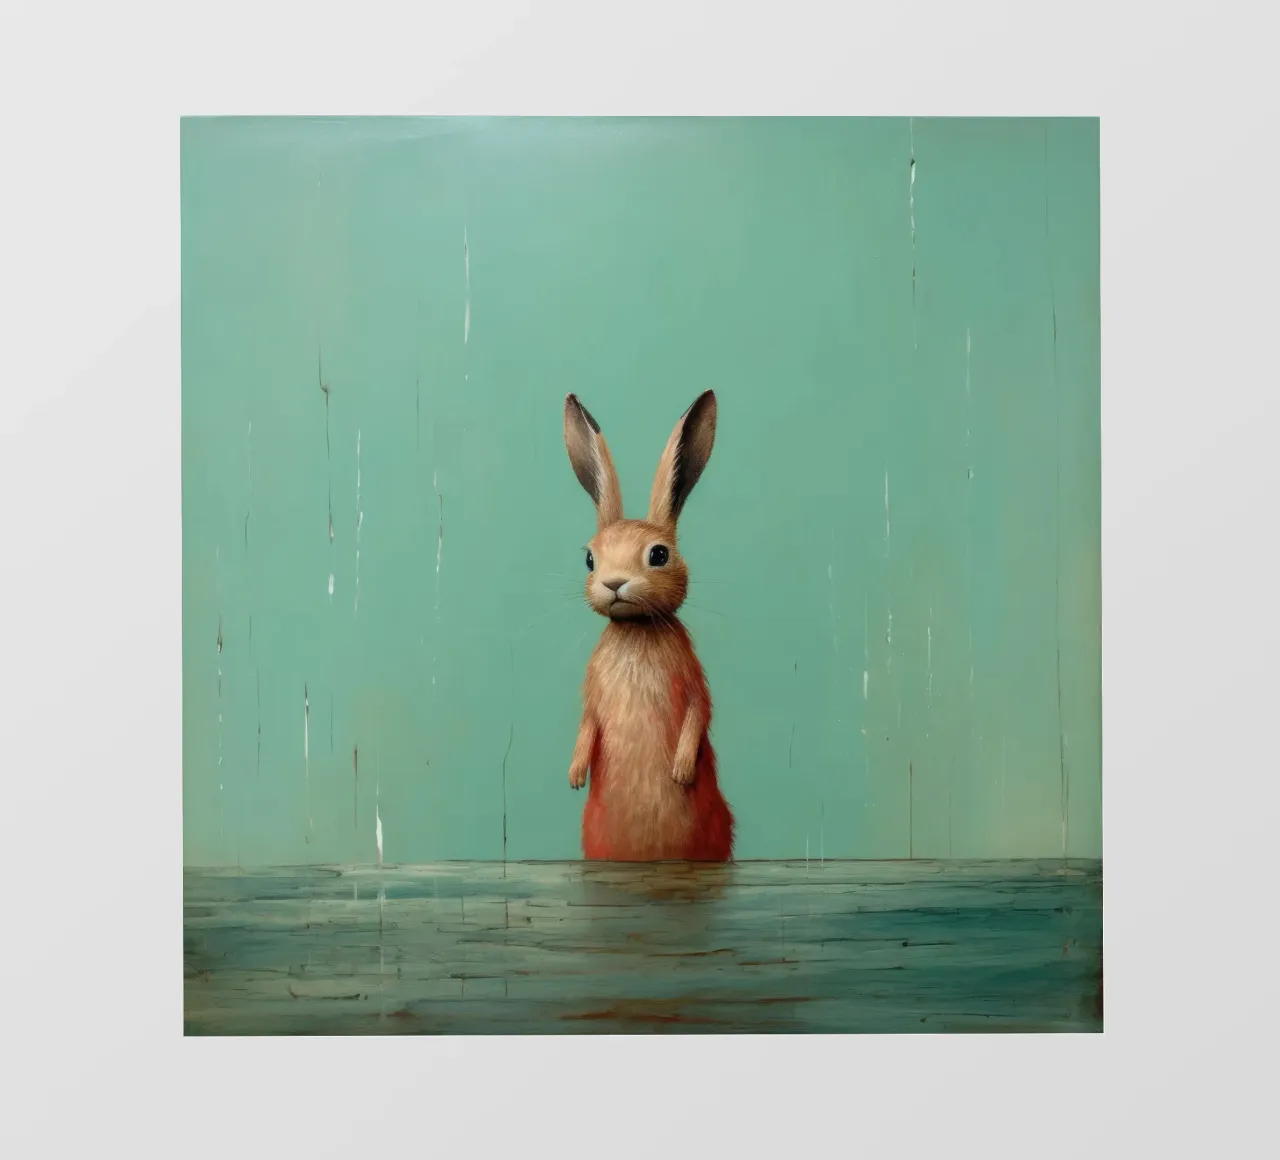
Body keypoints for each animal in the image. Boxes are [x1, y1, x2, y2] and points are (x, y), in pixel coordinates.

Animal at [562, 389, 734, 862]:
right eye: (590, 559)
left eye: (659, 555)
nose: (614, 583)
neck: (636, 628)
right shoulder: (592, 696)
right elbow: (587, 723)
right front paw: (575, 775)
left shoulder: (694, 681)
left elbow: (699, 713)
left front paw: (680, 772)